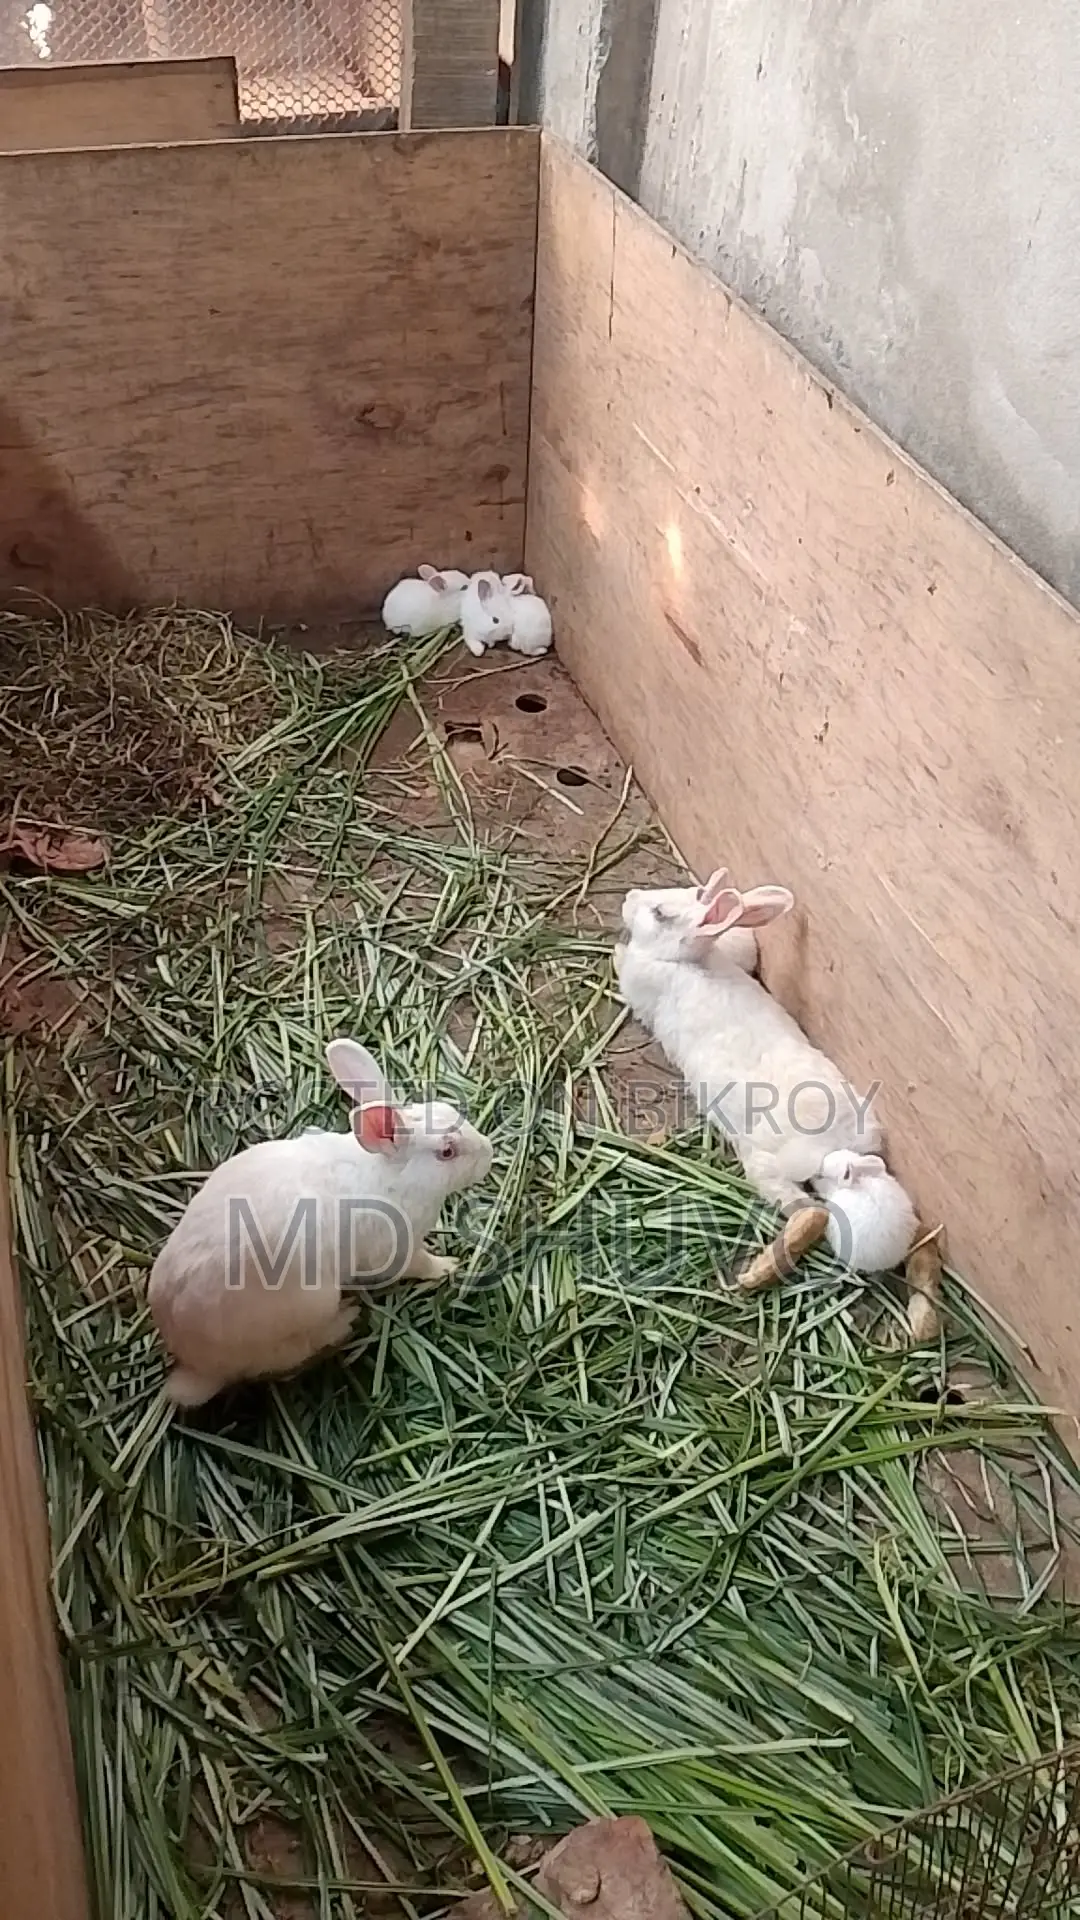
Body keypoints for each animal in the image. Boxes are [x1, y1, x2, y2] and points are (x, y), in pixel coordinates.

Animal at [148, 1037, 494, 1408]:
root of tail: (194, 1361)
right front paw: (450, 1266)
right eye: (447, 1152)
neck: (391, 1174)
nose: (489, 1151)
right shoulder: (397, 1250)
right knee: (296, 1351)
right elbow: (422, 1264)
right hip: (313, 1302)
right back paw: (348, 1317)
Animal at [614, 869, 884, 1229]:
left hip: (763, 1160)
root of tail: (835, 1143)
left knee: (789, 1195)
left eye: (660, 913)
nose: (629, 897)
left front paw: (616, 951)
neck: (689, 961)